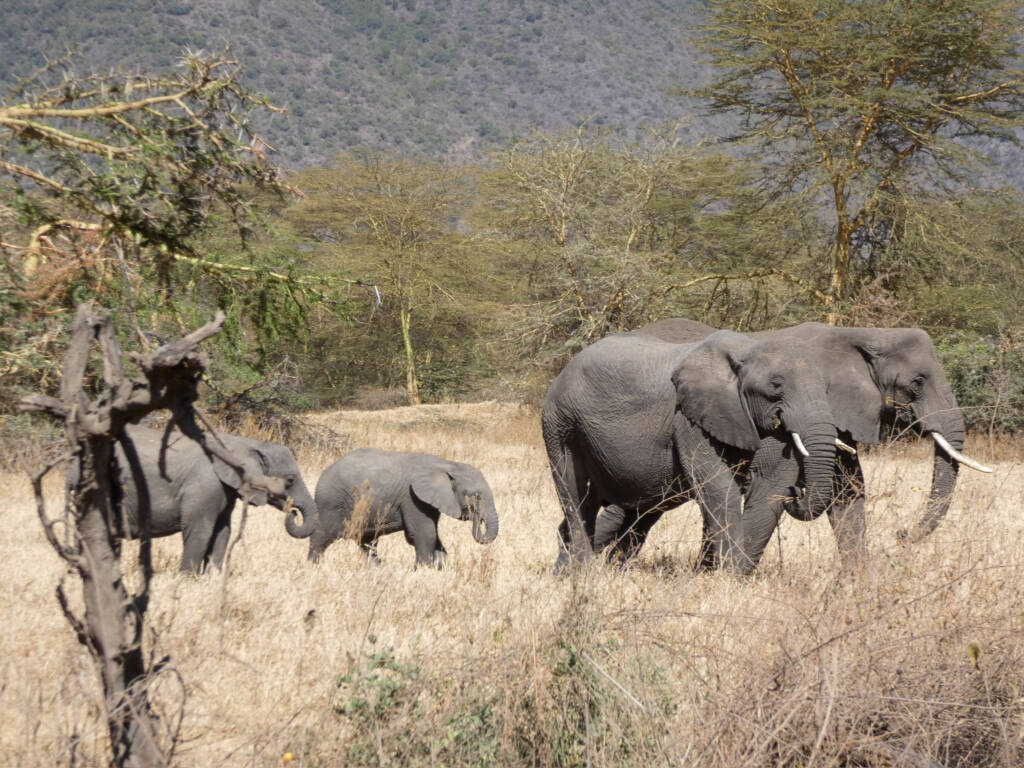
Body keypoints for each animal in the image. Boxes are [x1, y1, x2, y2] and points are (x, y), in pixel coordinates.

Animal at [113, 424, 318, 574]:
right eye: (290, 480)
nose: (293, 510)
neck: (244, 444)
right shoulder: (204, 485)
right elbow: (201, 531)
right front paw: (187, 580)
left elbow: (222, 532)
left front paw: (211, 579)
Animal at [308, 448, 499, 567]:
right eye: (476, 496)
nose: (478, 518)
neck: (446, 465)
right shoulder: (412, 498)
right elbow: (424, 533)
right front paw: (424, 570)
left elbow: (433, 535)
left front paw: (440, 567)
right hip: (331, 502)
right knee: (322, 536)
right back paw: (314, 568)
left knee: (367, 541)